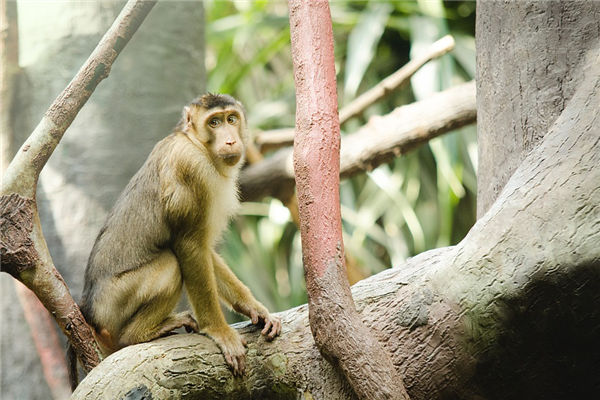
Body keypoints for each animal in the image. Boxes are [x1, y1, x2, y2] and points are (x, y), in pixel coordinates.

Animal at [73, 93, 282, 384]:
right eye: (214, 123)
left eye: (231, 119)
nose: (230, 140)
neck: (195, 143)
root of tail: (90, 311)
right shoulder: (191, 168)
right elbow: (190, 245)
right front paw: (219, 331)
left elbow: (205, 251)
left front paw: (254, 308)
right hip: (113, 306)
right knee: (171, 264)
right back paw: (139, 334)